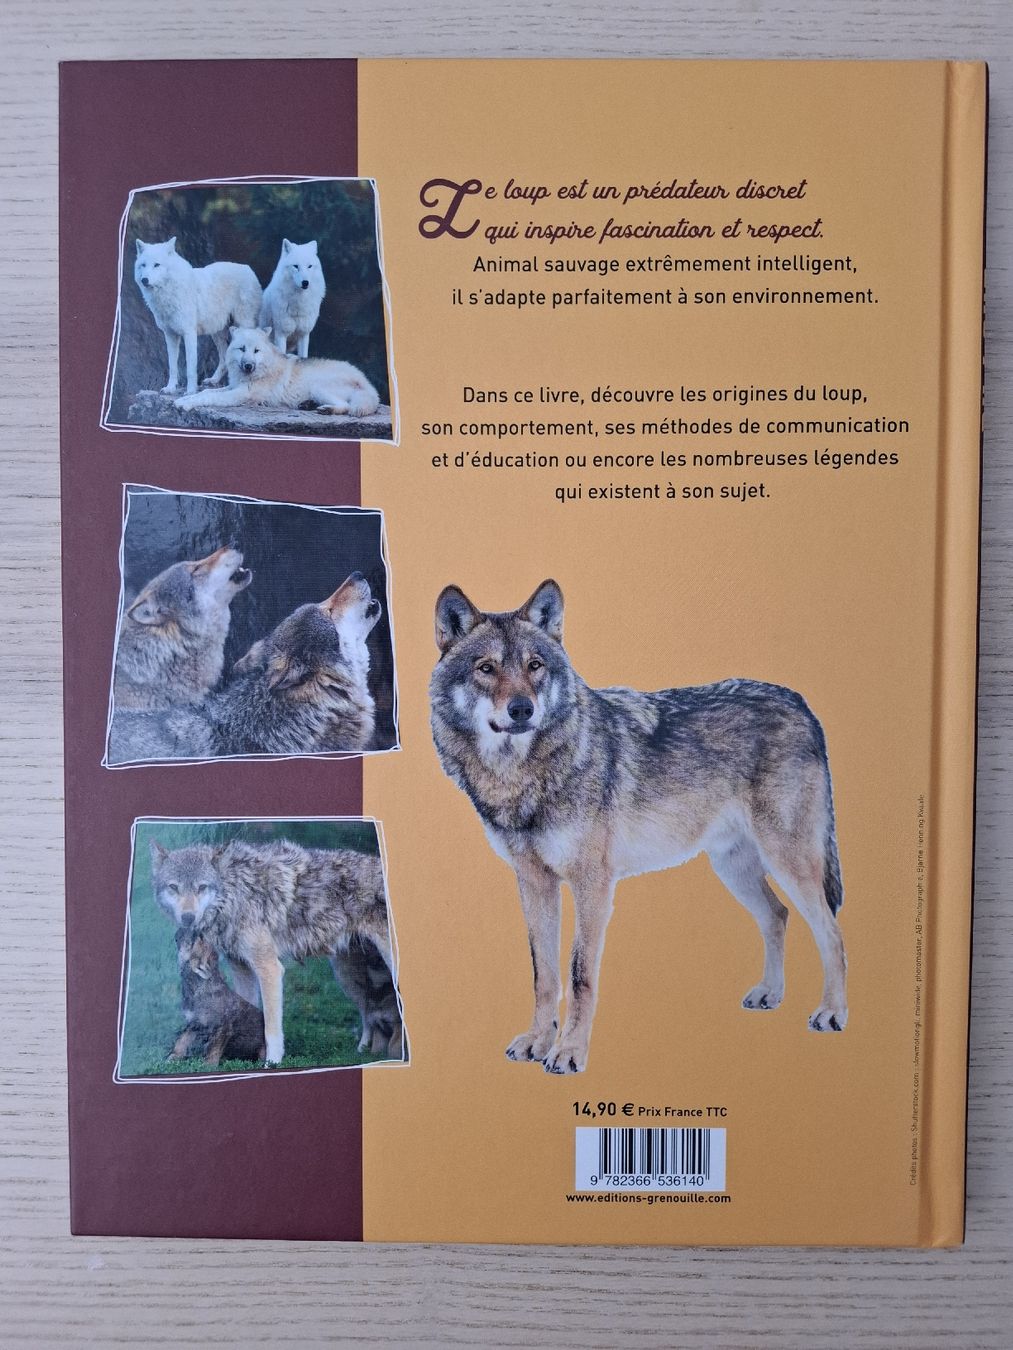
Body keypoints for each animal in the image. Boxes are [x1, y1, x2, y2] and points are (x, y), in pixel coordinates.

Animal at [133, 238, 262, 396]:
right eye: (143, 265)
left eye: (156, 264)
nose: (144, 279)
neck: (167, 293)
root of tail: (248, 268)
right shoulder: (170, 335)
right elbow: (172, 366)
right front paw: (170, 388)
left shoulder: (189, 333)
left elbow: (190, 368)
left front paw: (190, 391)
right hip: (217, 333)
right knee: (224, 357)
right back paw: (213, 380)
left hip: (243, 325)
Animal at [168, 928, 266, 1067]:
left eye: (198, 937)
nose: (180, 928)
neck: (198, 988)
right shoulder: (193, 1023)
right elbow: (181, 1040)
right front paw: (172, 1057)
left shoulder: (221, 1028)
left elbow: (213, 1049)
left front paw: (208, 1066)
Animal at [173, 326, 380, 419]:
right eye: (242, 349)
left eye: (256, 351)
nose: (248, 366)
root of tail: (368, 385)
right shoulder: (233, 386)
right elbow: (207, 391)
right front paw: (184, 399)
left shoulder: (240, 394)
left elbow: (208, 397)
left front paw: (185, 404)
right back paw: (308, 405)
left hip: (318, 387)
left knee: (346, 406)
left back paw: (325, 409)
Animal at [430, 580, 847, 1076]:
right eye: (486, 668)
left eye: (535, 666)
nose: (522, 710)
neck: (524, 776)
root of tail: (802, 703)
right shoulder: (533, 882)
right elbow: (544, 974)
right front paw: (536, 1041)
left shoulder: (593, 885)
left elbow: (580, 975)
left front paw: (569, 1052)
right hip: (734, 870)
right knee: (778, 916)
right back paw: (771, 993)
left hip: (789, 863)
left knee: (832, 932)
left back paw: (832, 1013)